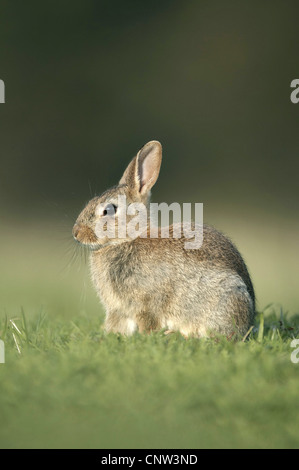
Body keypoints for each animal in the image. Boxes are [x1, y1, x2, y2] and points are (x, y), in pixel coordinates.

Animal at [72, 140, 255, 338]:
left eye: (109, 210)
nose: (76, 232)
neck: (127, 239)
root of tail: (249, 318)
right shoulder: (118, 310)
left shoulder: (146, 303)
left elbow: (148, 320)